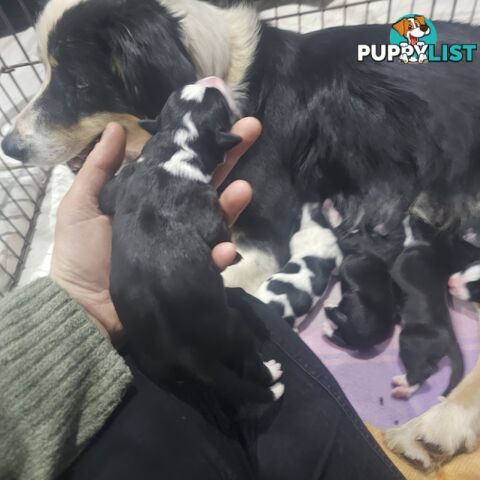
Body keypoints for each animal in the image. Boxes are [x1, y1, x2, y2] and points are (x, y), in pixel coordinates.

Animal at [99, 79, 284, 404]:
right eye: (218, 102)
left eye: (177, 93)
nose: (209, 81)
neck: (175, 146)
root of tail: (184, 354)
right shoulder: (209, 210)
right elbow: (220, 235)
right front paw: (234, 255)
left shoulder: (121, 182)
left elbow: (105, 197)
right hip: (233, 327)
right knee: (248, 360)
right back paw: (271, 374)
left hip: (153, 363)